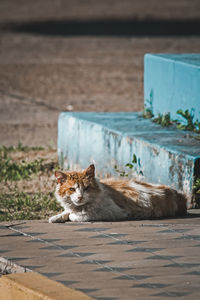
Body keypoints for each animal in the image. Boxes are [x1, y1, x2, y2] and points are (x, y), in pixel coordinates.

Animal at [48, 164, 188, 223]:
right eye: (72, 189)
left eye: (86, 188)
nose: (80, 196)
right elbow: (66, 212)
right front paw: (56, 217)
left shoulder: (115, 212)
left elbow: (76, 216)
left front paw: (73, 215)